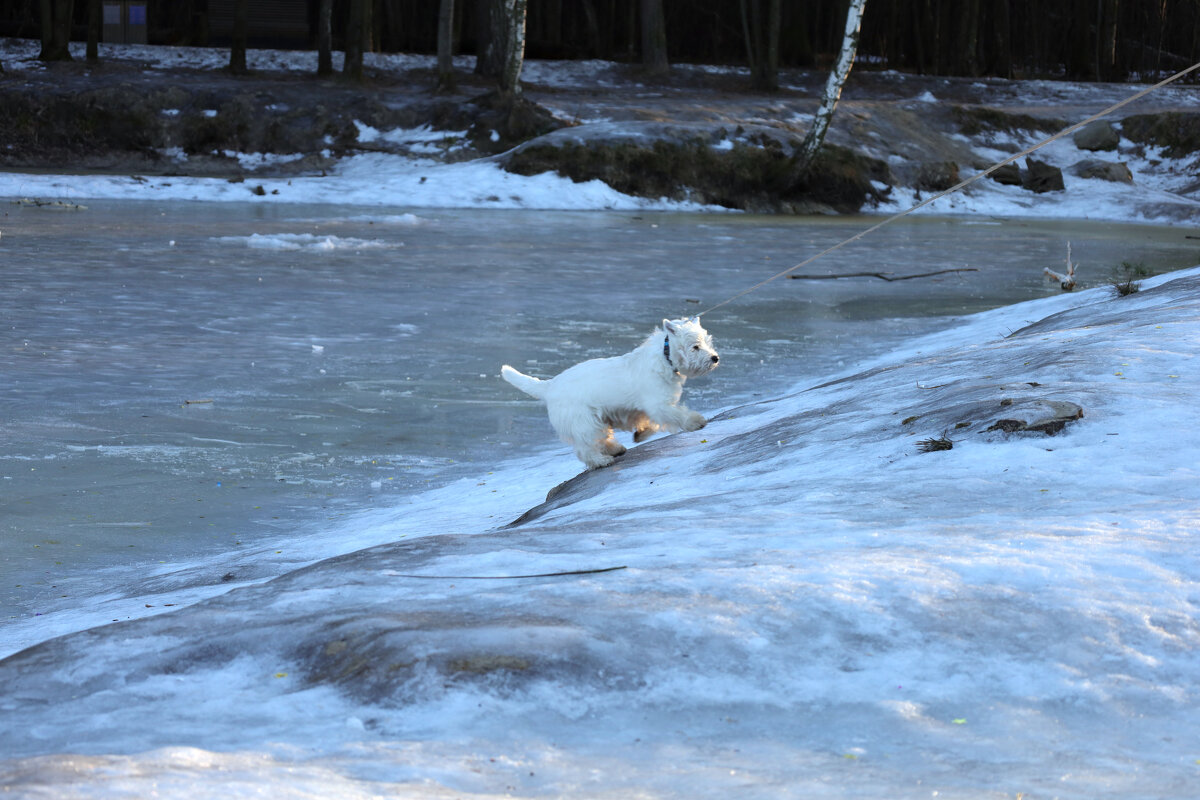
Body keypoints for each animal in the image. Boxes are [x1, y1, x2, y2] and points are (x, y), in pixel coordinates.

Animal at [499, 316, 715, 470]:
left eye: (708, 342)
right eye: (695, 347)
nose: (715, 358)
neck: (665, 356)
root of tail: (550, 386)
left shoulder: (644, 407)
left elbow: (649, 422)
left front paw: (641, 434)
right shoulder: (658, 404)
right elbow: (676, 414)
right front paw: (696, 421)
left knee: (600, 440)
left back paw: (616, 449)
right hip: (583, 421)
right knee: (585, 448)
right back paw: (601, 461)